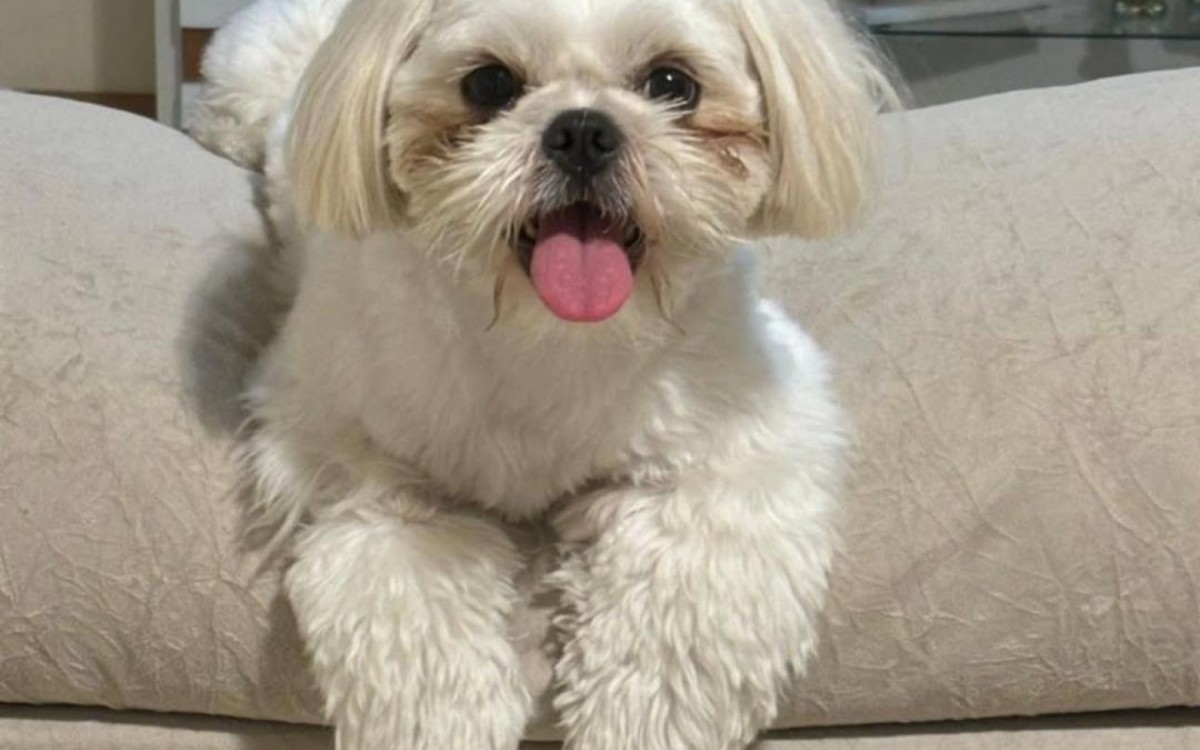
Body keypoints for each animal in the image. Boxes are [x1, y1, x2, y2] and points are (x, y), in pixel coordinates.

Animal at [192, 0, 892, 747]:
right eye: (489, 84)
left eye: (674, 83)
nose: (582, 129)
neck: (550, 336)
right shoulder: (342, 452)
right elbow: (409, 595)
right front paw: (447, 720)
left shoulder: (757, 438)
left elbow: (689, 596)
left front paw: (634, 718)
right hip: (250, 67)